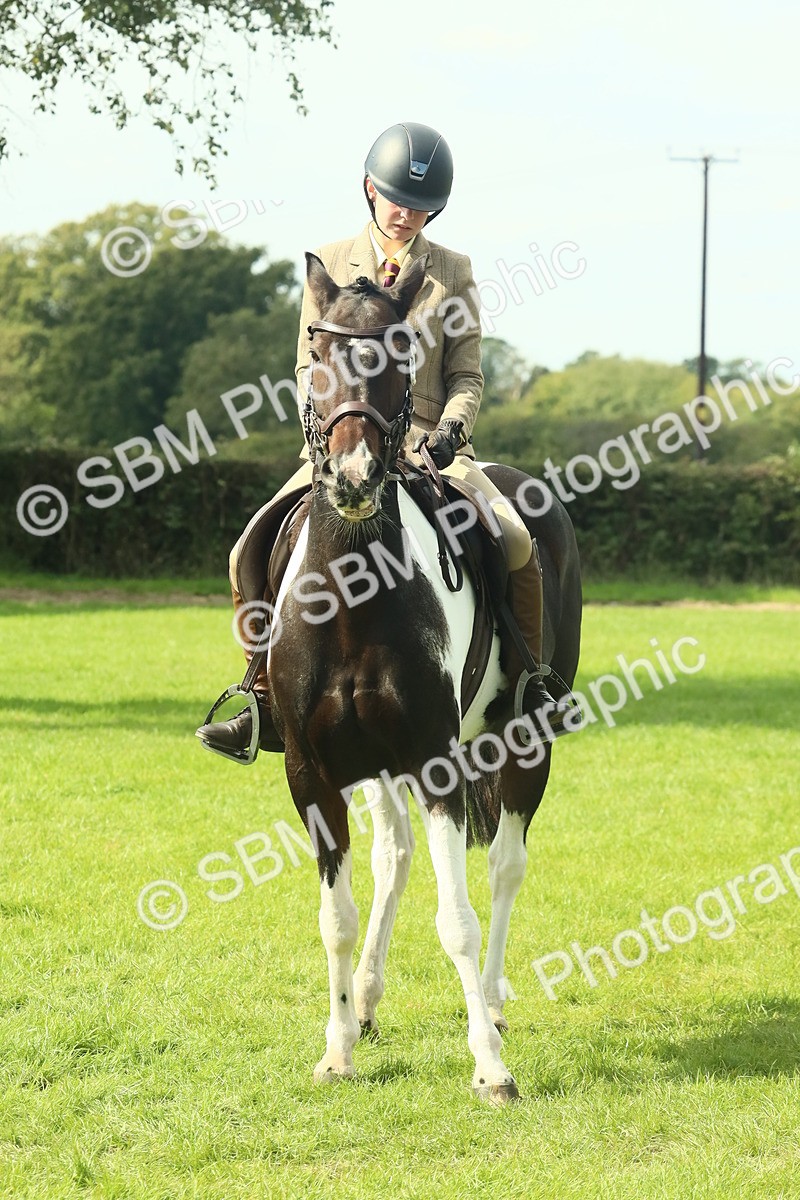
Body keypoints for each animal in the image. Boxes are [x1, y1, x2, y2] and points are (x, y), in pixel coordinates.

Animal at [266, 252, 582, 1104]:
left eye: (399, 353)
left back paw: (496, 1007)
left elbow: (459, 920)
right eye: (315, 348)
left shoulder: (436, 761)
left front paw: (491, 1069)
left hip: (524, 738)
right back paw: (370, 1001)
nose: (353, 476)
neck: (352, 593)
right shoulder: (312, 773)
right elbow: (336, 918)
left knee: (504, 864)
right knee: (395, 858)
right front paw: (338, 1049)